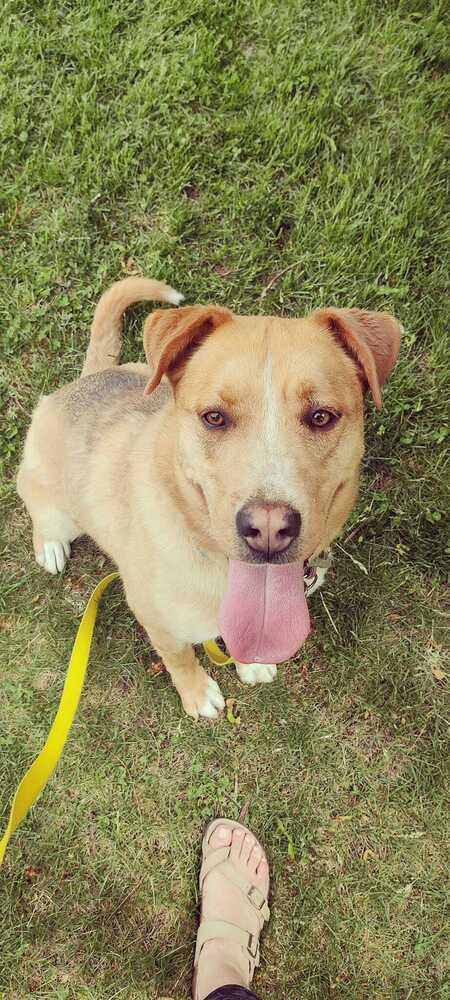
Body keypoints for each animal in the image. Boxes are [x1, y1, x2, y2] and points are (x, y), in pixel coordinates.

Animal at [17, 280, 402, 720]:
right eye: (214, 417)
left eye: (321, 416)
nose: (268, 529)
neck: (213, 561)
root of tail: (88, 378)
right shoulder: (157, 622)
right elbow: (180, 658)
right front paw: (197, 693)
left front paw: (250, 664)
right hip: (55, 504)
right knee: (41, 514)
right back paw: (49, 545)